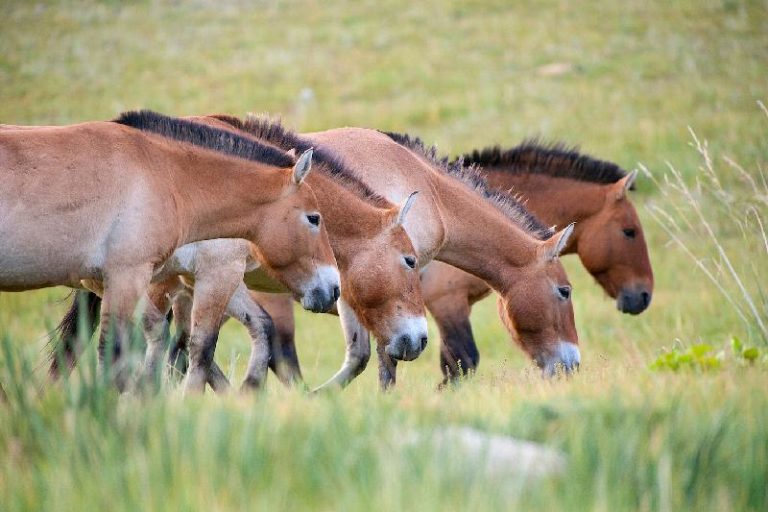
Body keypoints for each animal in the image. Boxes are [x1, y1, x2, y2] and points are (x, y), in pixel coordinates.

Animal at [0, 112, 338, 390]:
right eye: (314, 218)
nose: (334, 287)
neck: (162, 174)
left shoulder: (121, 281)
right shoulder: (130, 276)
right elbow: (122, 354)